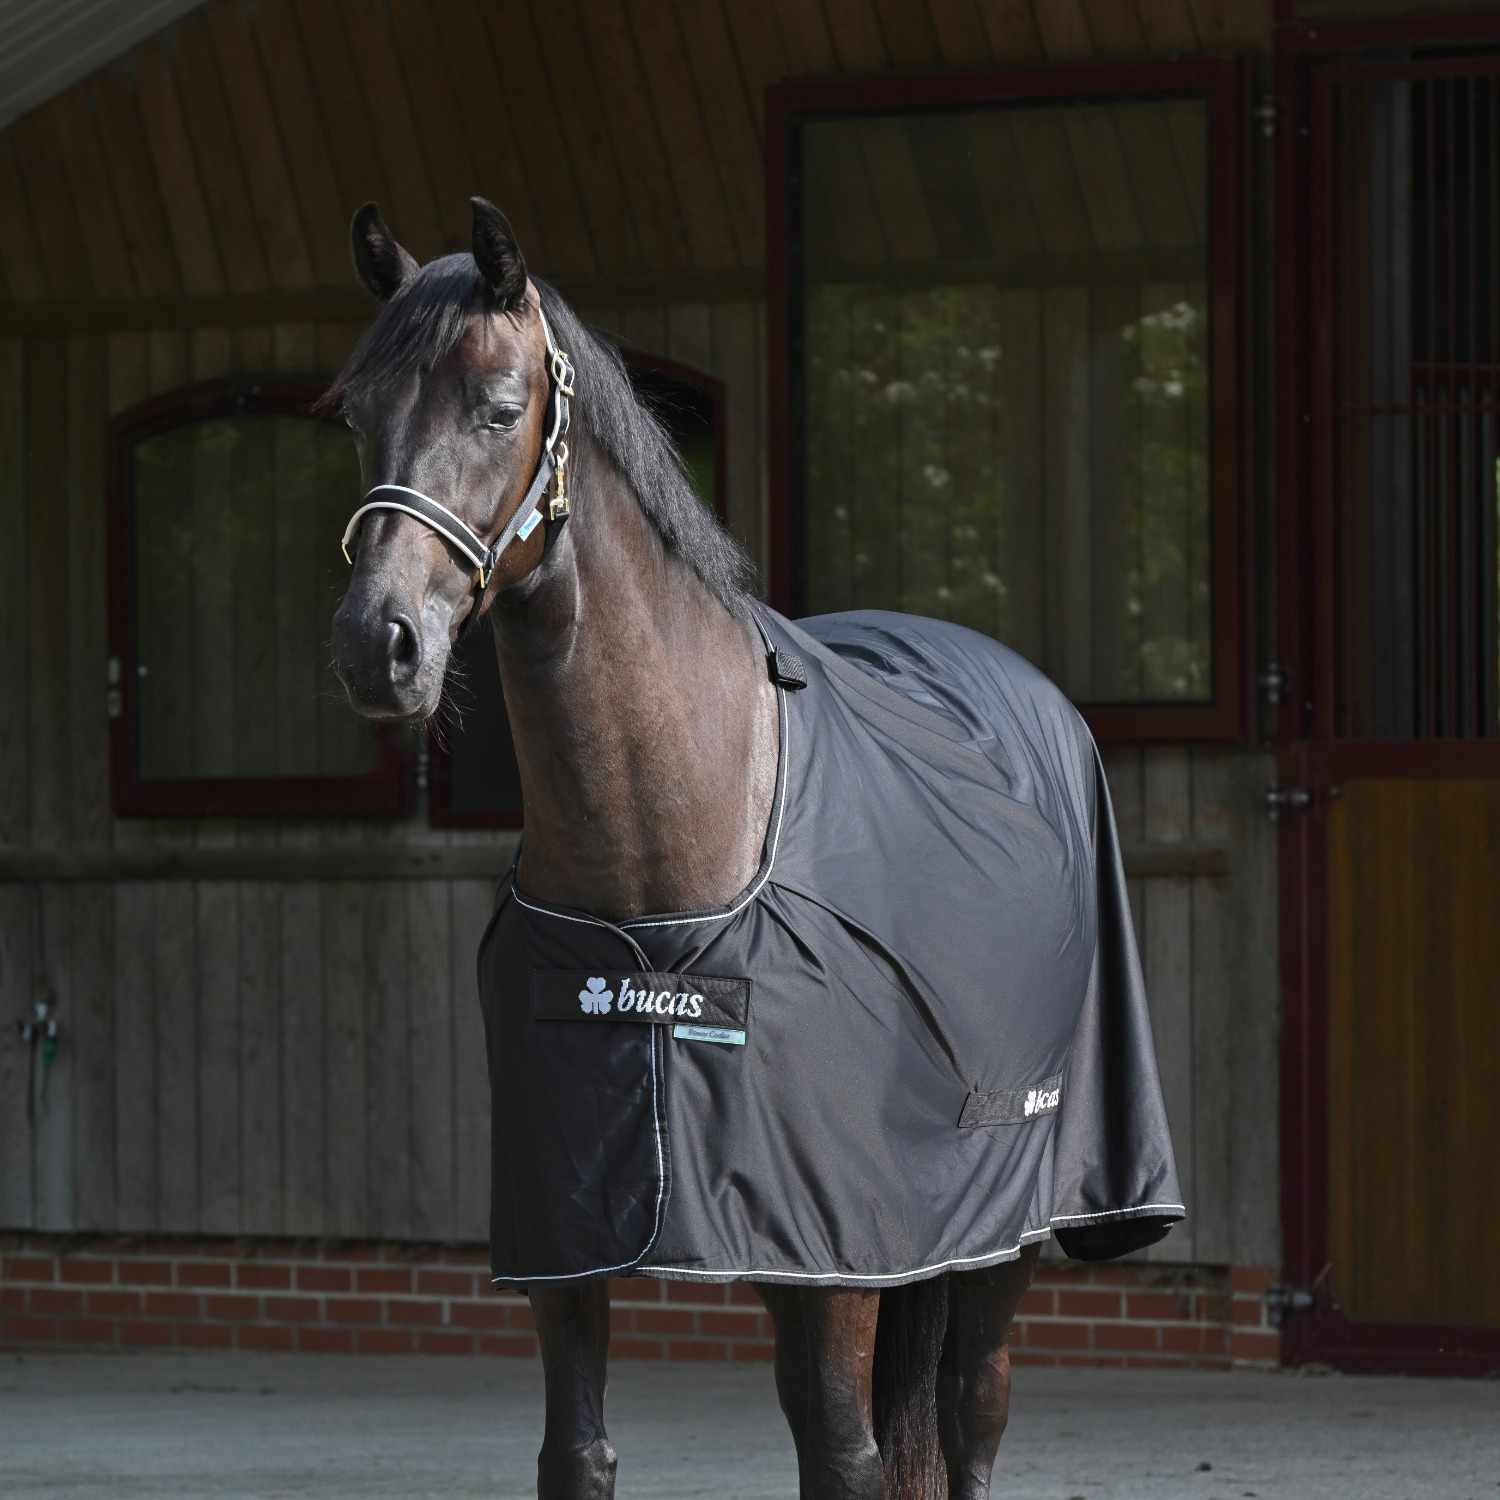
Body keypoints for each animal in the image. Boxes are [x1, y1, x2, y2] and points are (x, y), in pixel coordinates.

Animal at [330, 198, 1181, 1500]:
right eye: (356, 411)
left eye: (498, 403)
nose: (379, 646)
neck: (658, 875)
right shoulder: (569, 1242)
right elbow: (578, 1452)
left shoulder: (831, 1258)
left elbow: (843, 1454)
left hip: (1012, 1222)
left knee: (972, 1416)